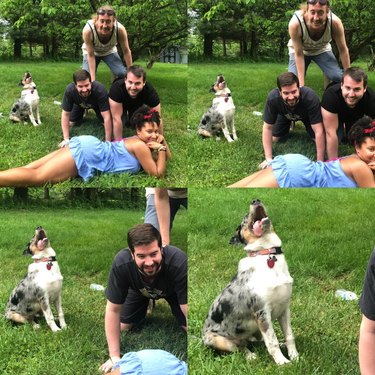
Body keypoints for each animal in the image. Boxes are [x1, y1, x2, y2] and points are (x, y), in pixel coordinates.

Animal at [204, 201, 298, 366]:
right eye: (245, 217)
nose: (255, 200)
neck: (267, 253)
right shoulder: (262, 312)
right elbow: (272, 342)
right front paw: (282, 362)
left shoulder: (284, 308)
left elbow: (289, 335)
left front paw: (294, 356)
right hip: (217, 339)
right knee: (238, 347)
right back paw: (250, 356)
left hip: (256, 330)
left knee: (256, 341)